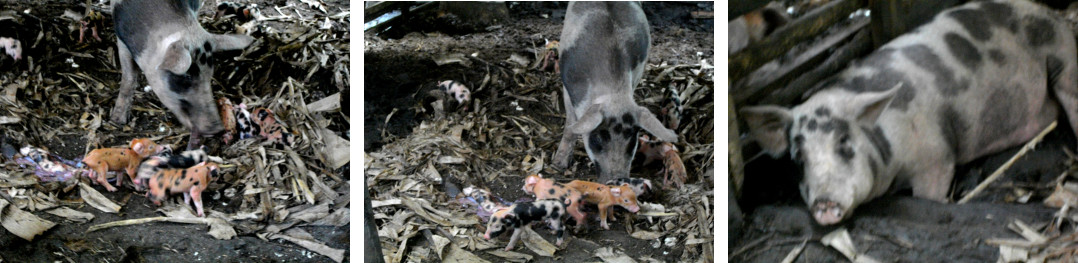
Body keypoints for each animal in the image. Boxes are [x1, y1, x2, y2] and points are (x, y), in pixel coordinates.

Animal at [110, 0, 253, 149]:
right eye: (187, 76)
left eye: (209, 75)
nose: (218, 128)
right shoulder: (121, 36)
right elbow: (129, 78)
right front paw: (116, 121)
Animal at [551, 1, 676, 183]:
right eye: (597, 139)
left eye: (632, 141)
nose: (618, 180)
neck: (614, 92)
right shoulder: (568, 89)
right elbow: (570, 125)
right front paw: (558, 165)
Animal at [741, 0, 1078, 226]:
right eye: (798, 158)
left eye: (844, 144)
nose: (824, 204)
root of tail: (1052, 14)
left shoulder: (937, 155)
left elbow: (929, 195)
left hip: (1064, 61)